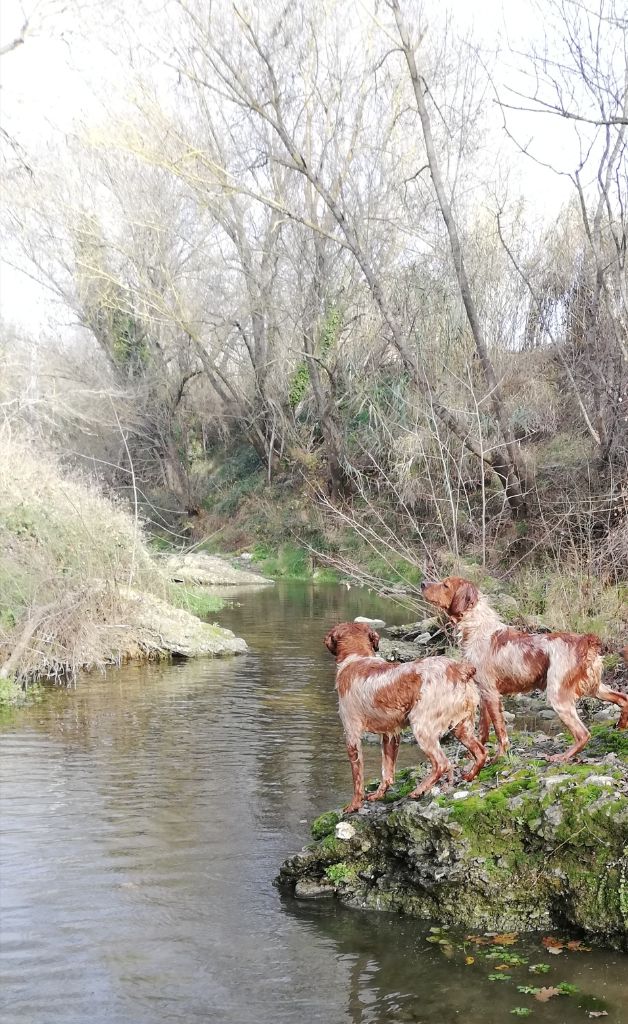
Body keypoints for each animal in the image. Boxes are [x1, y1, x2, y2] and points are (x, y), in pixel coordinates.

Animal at [323, 618, 485, 811]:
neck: (356, 659)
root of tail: (459, 669)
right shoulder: (390, 735)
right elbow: (387, 772)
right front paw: (378, 794)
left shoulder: (352, 735)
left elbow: (358, 780)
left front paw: (354, 805)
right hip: (462, 727)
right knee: (481, 752)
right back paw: (469, 776)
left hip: (421, 726)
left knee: (442, 763)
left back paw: (419, 790)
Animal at [422, 577, 626, 761]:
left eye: (445, 584)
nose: (423, 583)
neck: (476, 628)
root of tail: (586, 641)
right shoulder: (484, 692)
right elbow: (483, 729)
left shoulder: (491, 693)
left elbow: (500, 731)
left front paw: (499, 756)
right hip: (594, 687)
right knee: (623, 698)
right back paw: (621, 724)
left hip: (558, 694)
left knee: (583, 733)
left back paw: (562, 757)